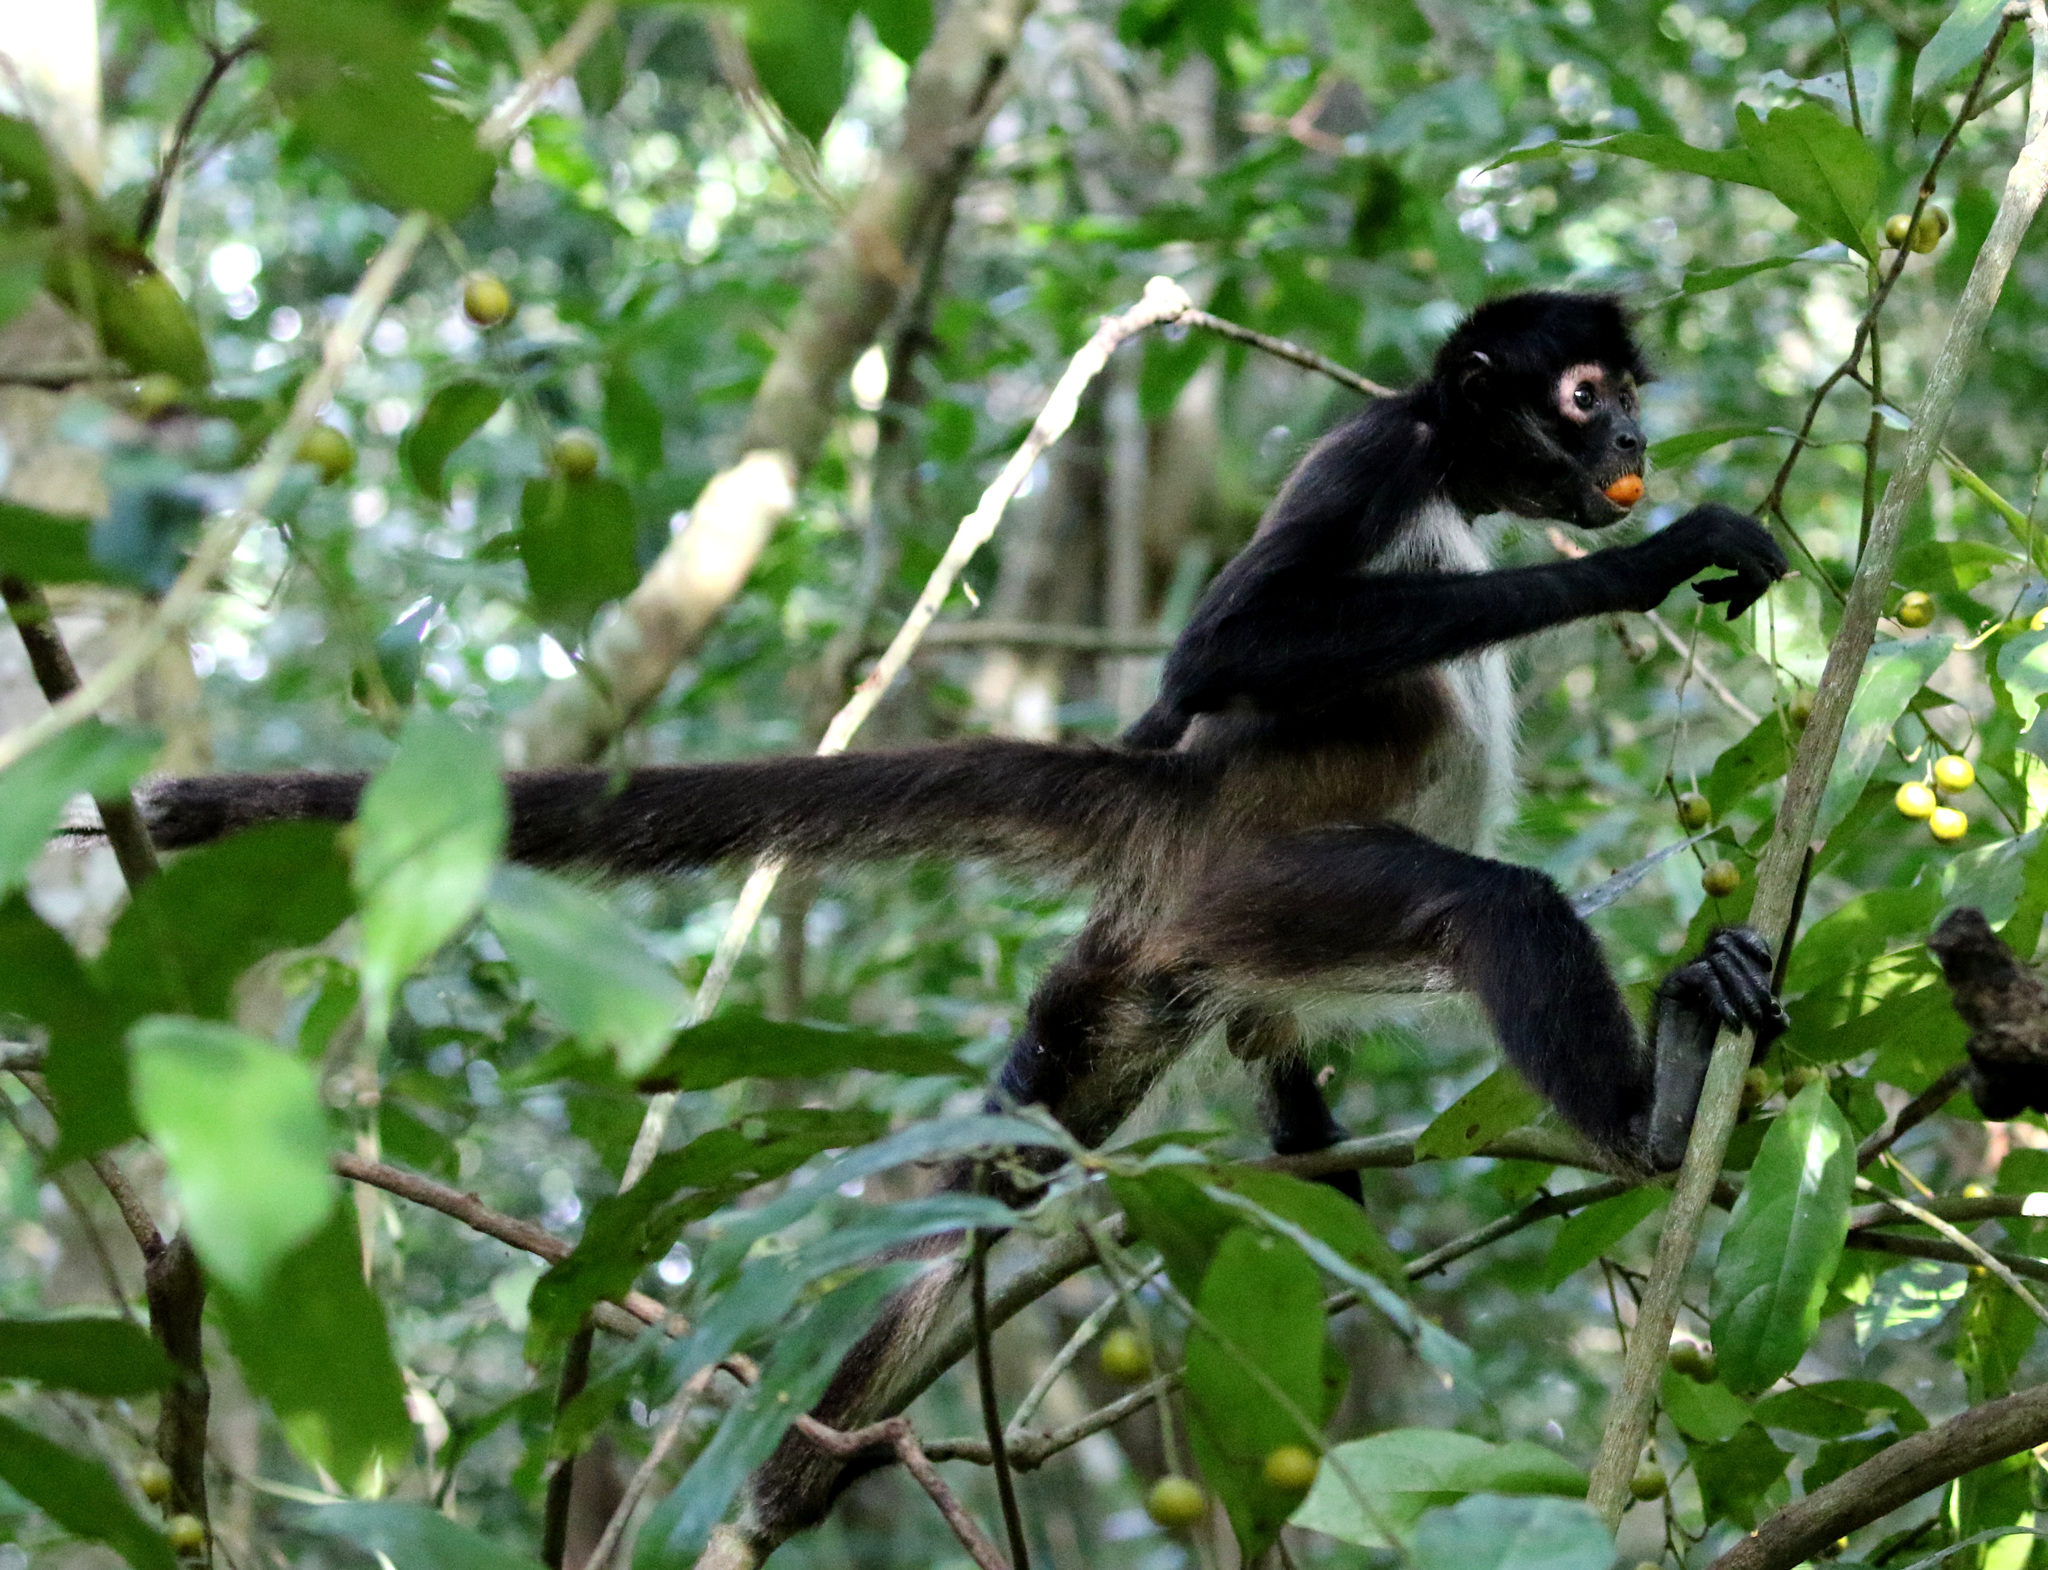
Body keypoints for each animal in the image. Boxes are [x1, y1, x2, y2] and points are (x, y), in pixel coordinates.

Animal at [132, 288, 1794, 1555]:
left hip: (1146, 981)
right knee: (1481, 901)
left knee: (993, 1189)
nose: (1636, 445)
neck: (1454, 473)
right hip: (1264, 879)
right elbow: (1221, 648)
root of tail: (1178, 812)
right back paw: (1652, 1123)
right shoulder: (1372, 457)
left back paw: (802, 1471)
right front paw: (1655, 556)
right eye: (1584, 395)